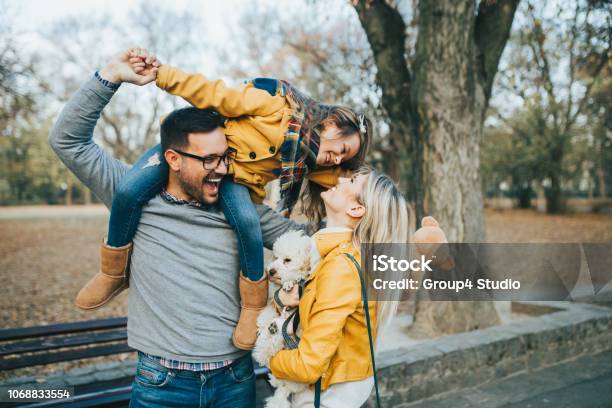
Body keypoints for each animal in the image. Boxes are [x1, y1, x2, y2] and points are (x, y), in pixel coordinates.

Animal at [252, 231, 310, 406]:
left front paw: (290, 283)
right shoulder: (272, 303)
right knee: (266, 350)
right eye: (275, 257)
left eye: (287, 260)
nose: (271, 271)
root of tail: (286, 388)